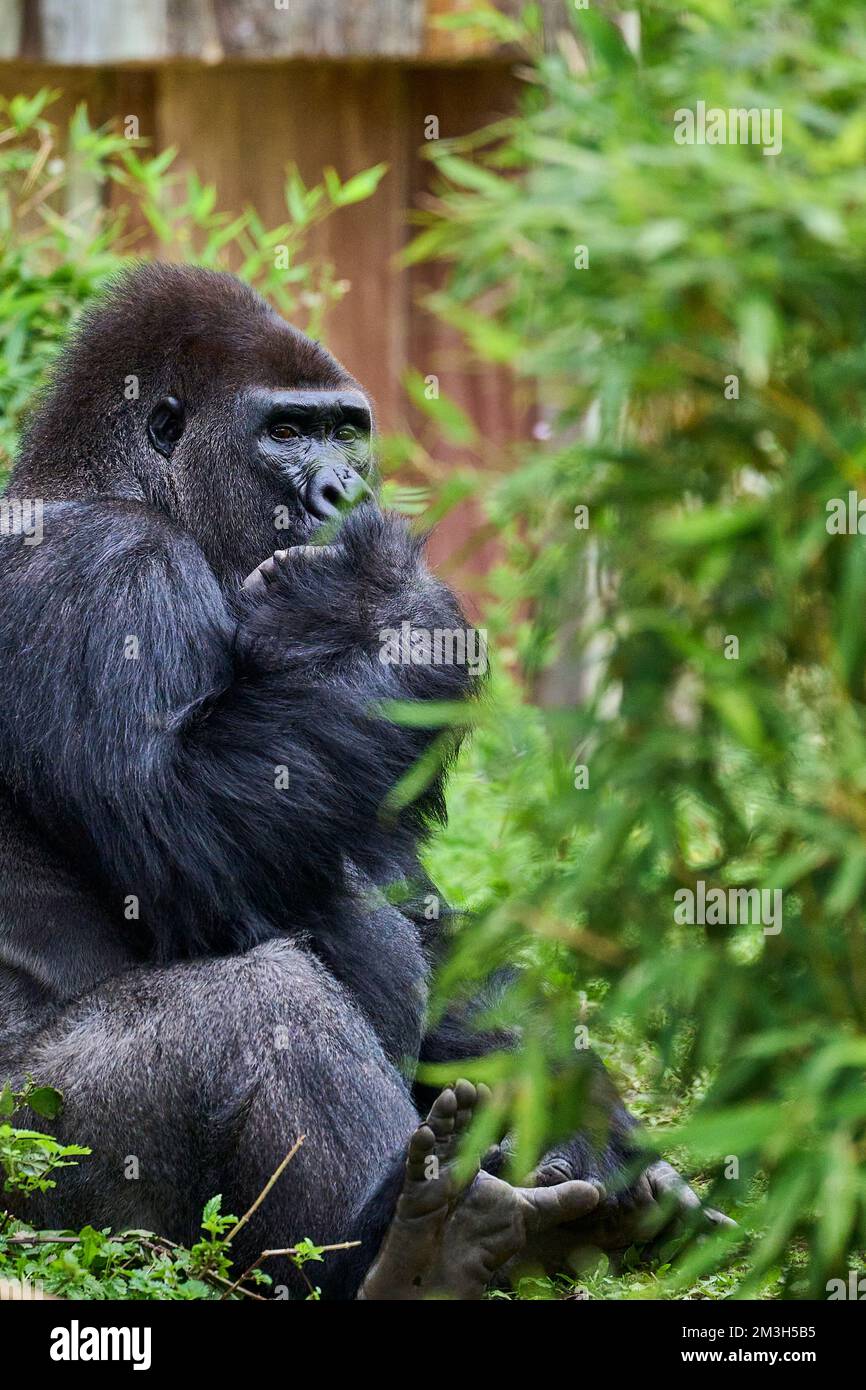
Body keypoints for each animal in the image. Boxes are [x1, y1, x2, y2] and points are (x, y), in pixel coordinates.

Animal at [0, 265, 717, 1295]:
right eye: (286, 432)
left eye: (346, 430)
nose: (344, 492)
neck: (112, 481)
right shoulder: (104, 568)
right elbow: (181, 827)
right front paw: (387, 599)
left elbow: (404, 894)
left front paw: (591, 1125)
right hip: (38, 1172)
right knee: (255, 1006)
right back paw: (415, 1252)